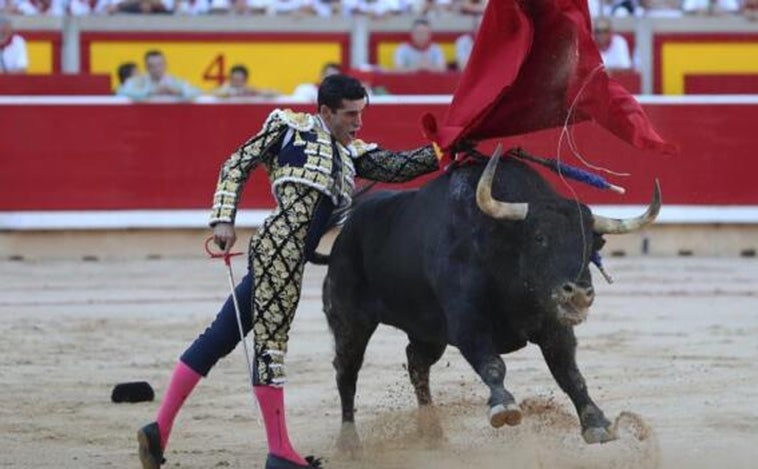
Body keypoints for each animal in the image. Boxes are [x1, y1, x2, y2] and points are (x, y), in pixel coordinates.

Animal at [320, 146, 660, 446]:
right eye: (539, 238)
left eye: (592, 243)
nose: (578, 293)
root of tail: (346, 232)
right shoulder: (467, 324)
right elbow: (492, 364)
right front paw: (503, 405)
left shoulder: (553, 326)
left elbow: (569, 373)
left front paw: (596, 422)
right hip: (350, 319)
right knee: (346, 372)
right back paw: (349, 442)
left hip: (428, 332)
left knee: (416, 363)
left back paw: (432, 433)